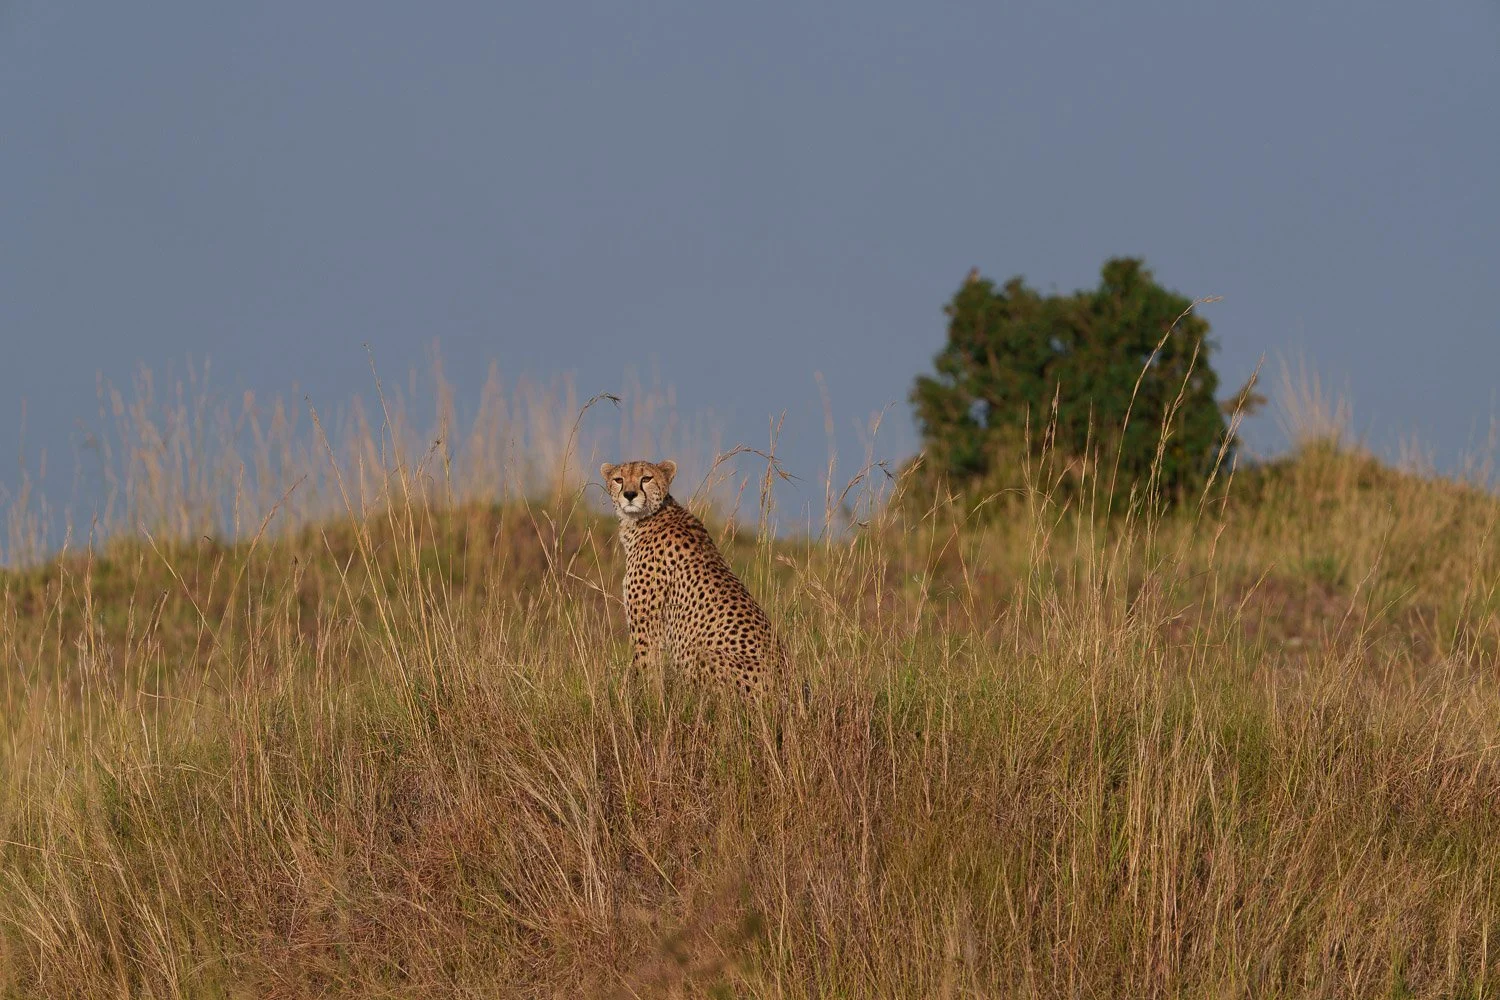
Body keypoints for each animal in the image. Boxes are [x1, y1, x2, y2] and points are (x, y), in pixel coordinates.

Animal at [601, 459, 784, 698]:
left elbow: (645, 667)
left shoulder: (647, 626)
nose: (630, 494)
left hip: (703, 655)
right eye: (618, 479)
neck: (645, 519)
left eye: (646, 478)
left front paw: (642, 701)